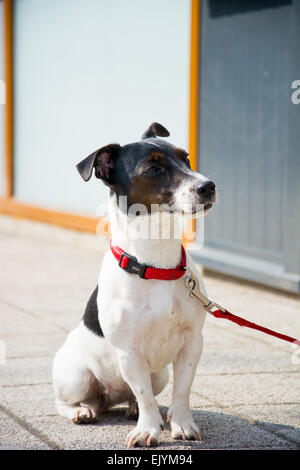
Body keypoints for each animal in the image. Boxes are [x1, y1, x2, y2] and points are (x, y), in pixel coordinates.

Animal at [52, 123, 216, 446]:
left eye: (186, 158)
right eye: (153, 168)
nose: (209, 186)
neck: (157, 266)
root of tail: (107, 399)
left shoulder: (192, 342)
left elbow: (182, 390)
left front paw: (181, 423)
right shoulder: (129, 351)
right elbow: (145, 397)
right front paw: (148, 429)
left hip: (159, 374)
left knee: (135, 395)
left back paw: (129, 408)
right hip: (76, 377)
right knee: (69, 400)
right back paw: (81, 411)